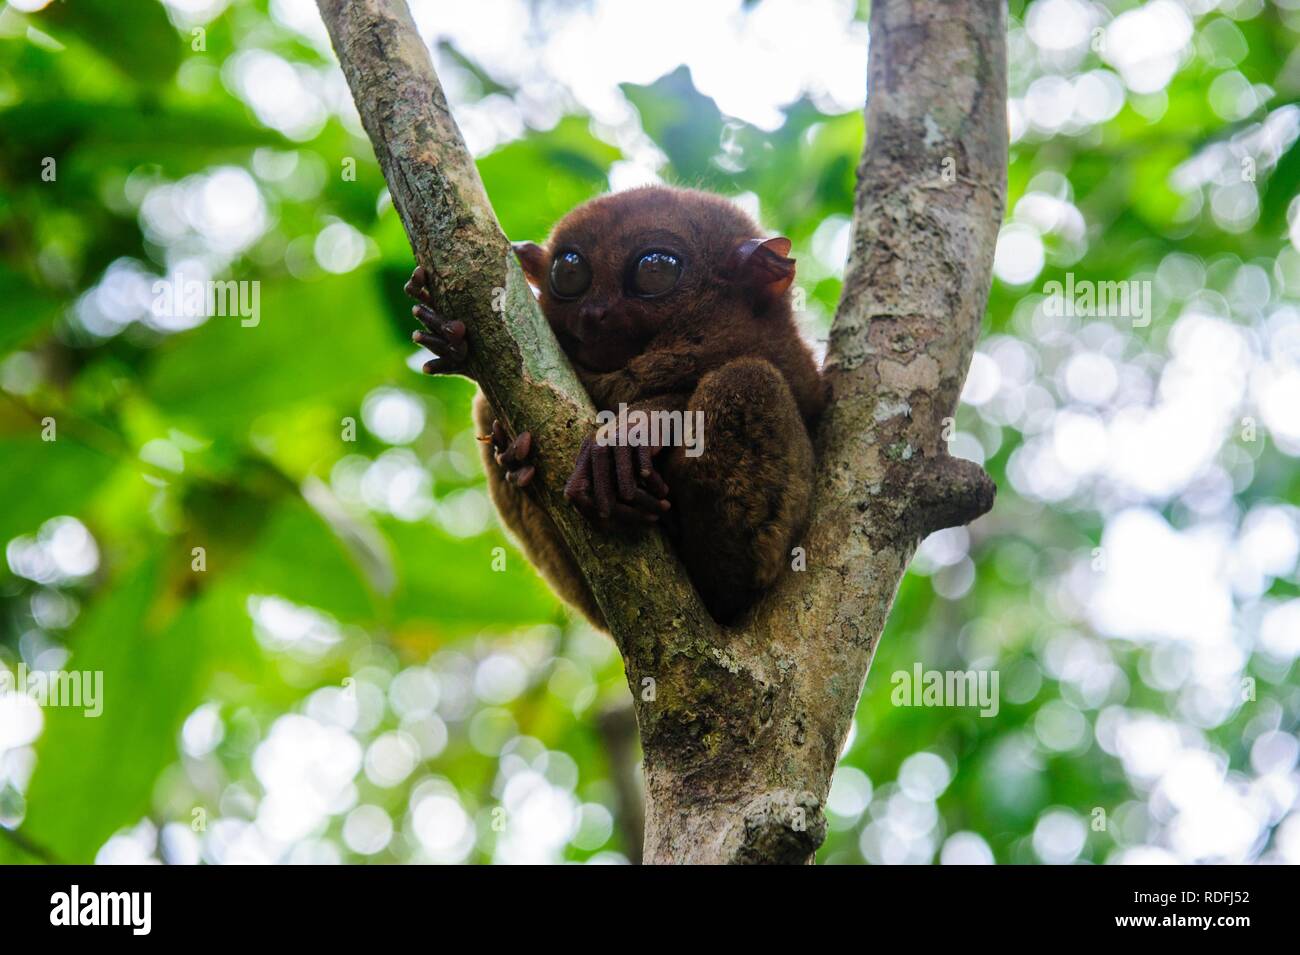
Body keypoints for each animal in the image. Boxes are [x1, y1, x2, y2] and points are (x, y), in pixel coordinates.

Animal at [405, 185, 827, 626]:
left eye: (654, 269)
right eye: (569, 270)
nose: (594, 312)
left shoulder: (787, 357)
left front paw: (636, 428)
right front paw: (453, 338)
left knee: (746, 379)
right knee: (486, 408)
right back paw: (517, 460)